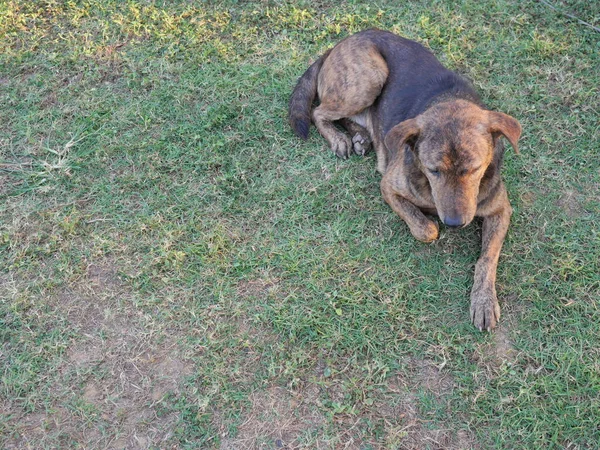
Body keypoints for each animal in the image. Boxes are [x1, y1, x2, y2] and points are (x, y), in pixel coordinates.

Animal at [288, 28, 520, 330]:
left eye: (473, 169)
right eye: (434, 170)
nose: (454, 223)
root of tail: (343, 41)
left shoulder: (501, 210)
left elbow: (487, 258)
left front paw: (483, 301)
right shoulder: (388, 186)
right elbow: (425, 229)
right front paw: (429, 223)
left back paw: (360, 137)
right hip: (369, 77)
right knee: (319, 112)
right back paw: (340, 138)